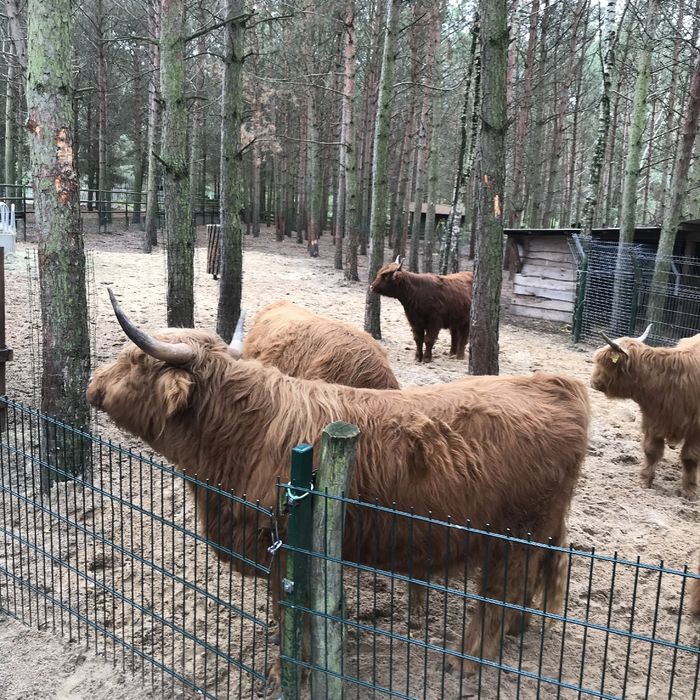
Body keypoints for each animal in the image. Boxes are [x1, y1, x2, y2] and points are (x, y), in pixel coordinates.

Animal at [592, 326, 700, 500]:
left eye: (605, 363)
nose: (593, 382)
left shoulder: (696, 429)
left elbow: (690, 457)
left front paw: (690, 491)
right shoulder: (653, 419)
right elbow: (651, 451)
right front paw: (644, 480)